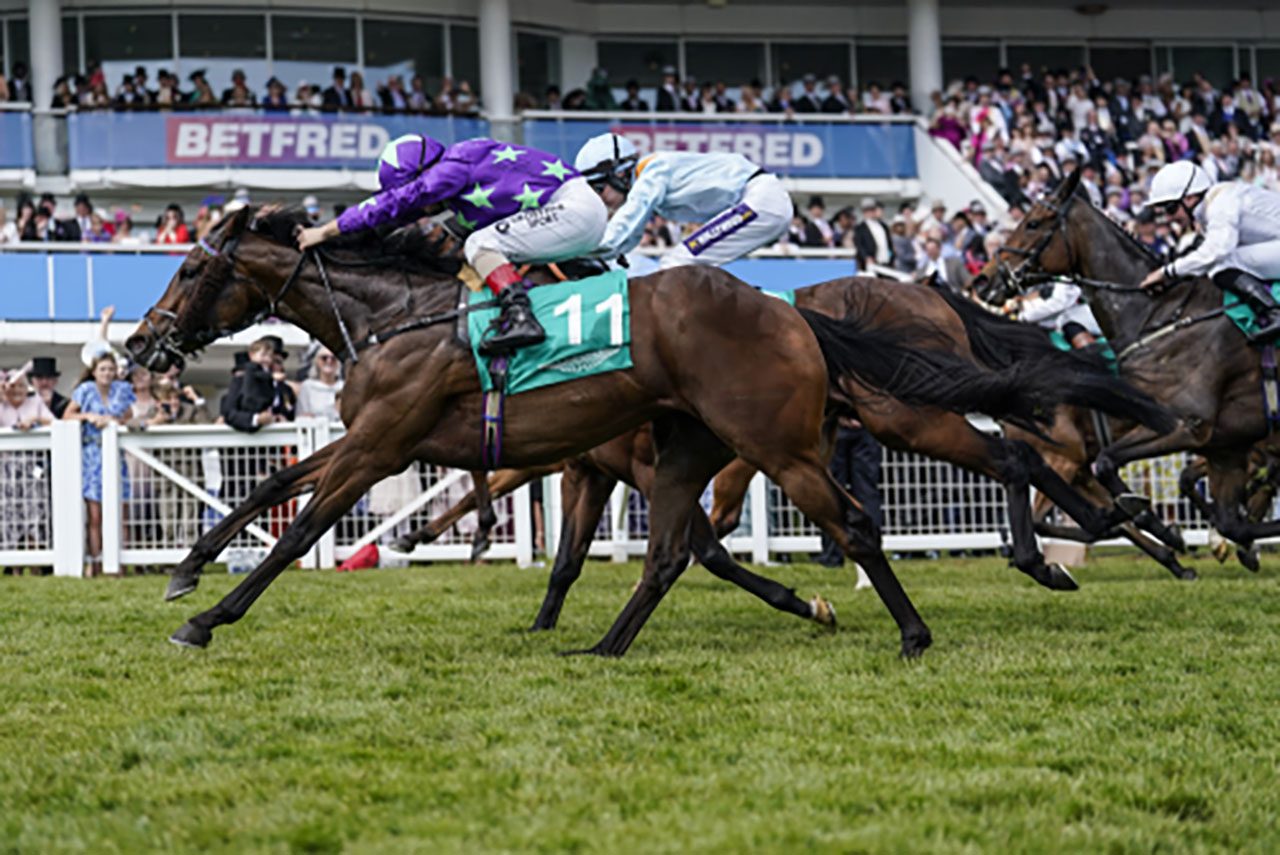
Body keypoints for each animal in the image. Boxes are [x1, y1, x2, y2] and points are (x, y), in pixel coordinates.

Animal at [127, 204, 1111, 655]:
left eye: (190, 269)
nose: (141, 342)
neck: (398, 315)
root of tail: (791, 314)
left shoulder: (383, 446)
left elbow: (299, 531)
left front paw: (208, 617)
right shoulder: (390, 440)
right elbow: (269, 482)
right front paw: (185, 570)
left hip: (801, 438)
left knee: (894, 507)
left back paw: (943, 613)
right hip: (710, 443)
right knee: (676, 551)